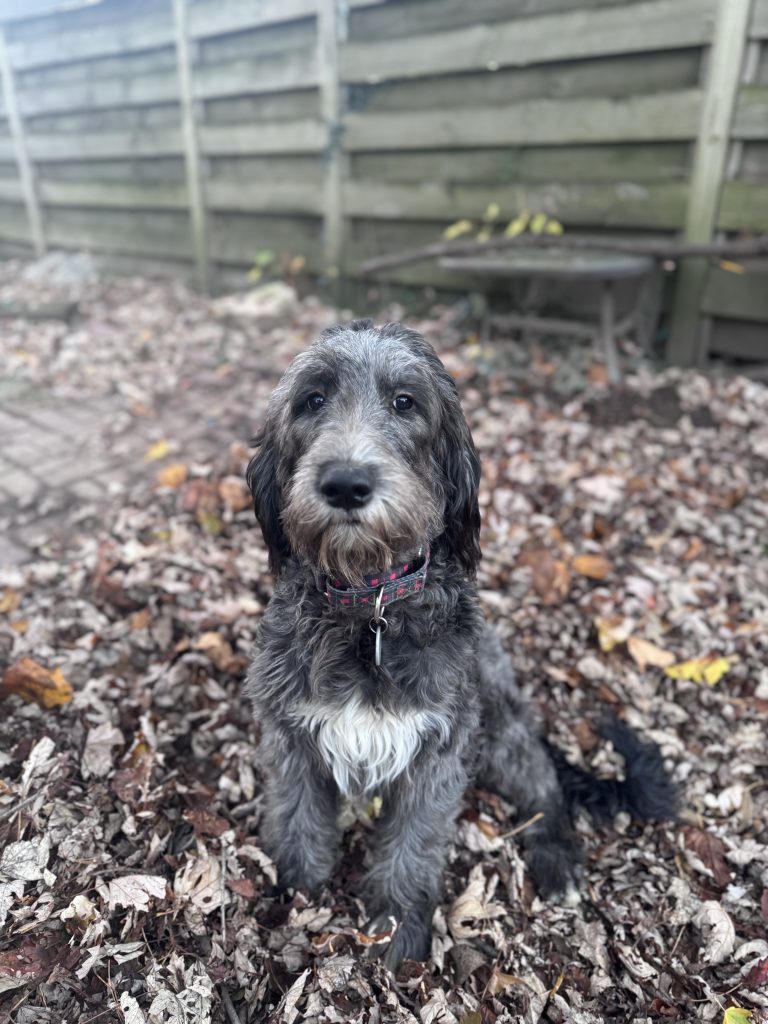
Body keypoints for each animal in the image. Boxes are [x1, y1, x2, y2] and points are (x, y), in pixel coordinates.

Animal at [246, 319, 679, 966]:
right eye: (312, 400)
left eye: (405, 402)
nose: (346, 484)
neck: (371, 610)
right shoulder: (292, 737)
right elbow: (298, 820)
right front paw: (297, 894)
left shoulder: (439, 751)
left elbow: (412, 844)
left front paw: (398, 931)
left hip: (500, 728)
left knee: (547, 792)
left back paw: (556, 861)